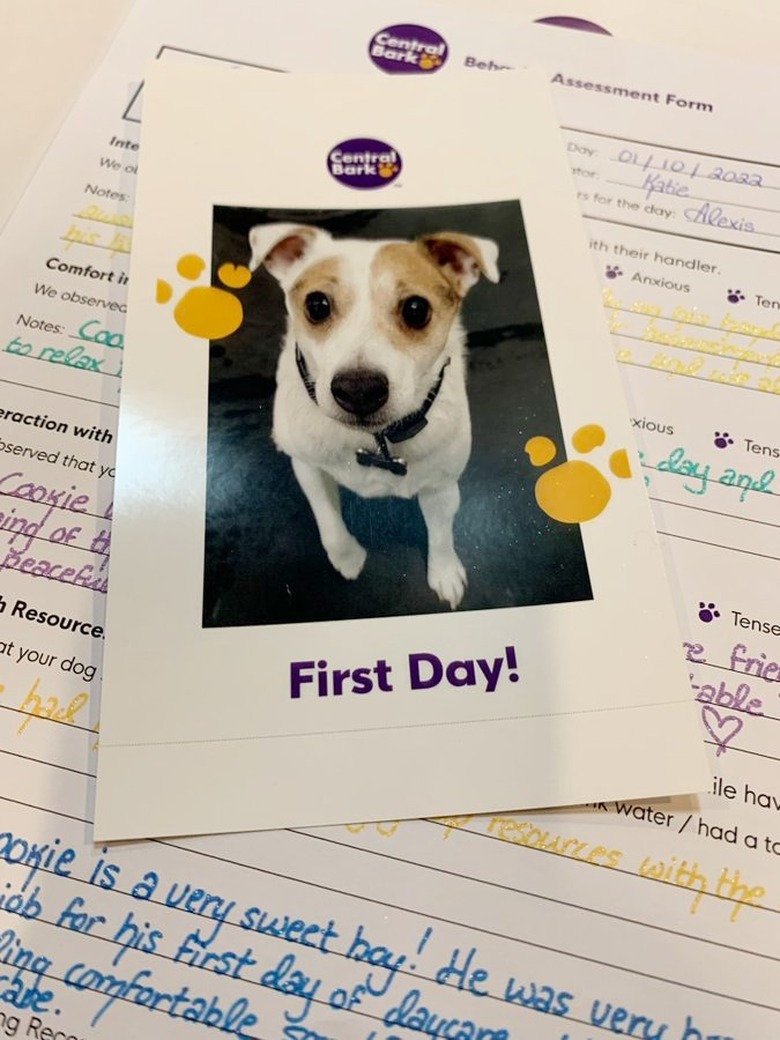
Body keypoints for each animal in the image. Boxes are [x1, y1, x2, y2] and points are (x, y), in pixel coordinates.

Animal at [248, 223, 501, 607]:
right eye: (317, 305)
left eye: (416, 309)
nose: (359, 390)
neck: (374, 441)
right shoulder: (308, 468)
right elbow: (330, 526)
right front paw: (349, 559)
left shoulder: (442, 487)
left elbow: (441, 535)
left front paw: (444, 574)